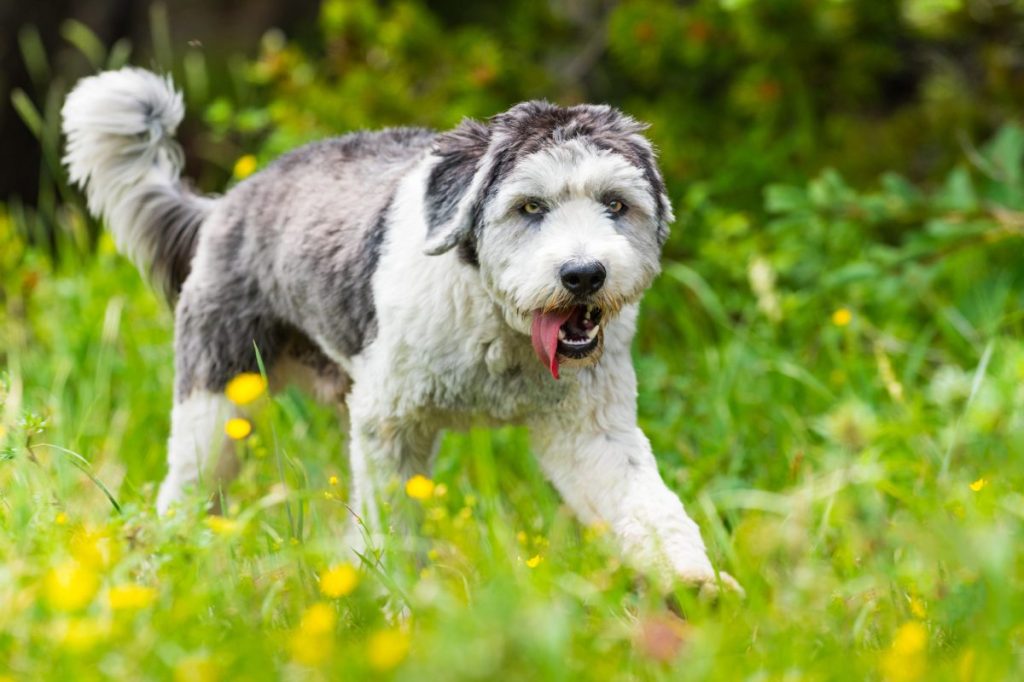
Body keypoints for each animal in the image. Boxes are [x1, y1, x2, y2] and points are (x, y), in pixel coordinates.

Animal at [61, 66, 737, 593]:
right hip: (218, 402)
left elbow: (644, 500)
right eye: (530, 206)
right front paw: (402, 607)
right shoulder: (390, 426)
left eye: (616, 204)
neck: (496, 324)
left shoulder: (587, 428)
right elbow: (394, 528)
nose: (584, 274)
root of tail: (224, 205)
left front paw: (694, 582)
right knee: (185, 491)